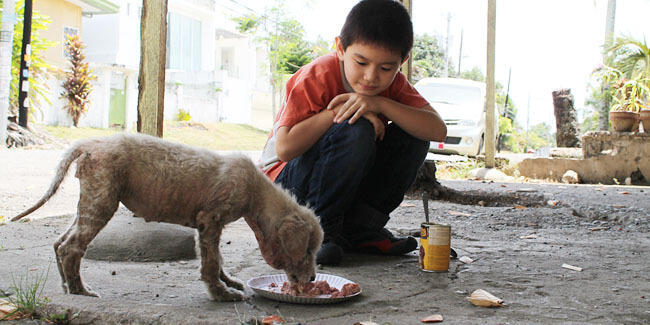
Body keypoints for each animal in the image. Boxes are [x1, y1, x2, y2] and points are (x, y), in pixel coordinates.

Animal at [12, 133, 322, 300]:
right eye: (307, 251)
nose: (312, 278)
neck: (256, 191)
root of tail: (90, 144)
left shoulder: (207, 227)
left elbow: (218, 258)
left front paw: (228, 281)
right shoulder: (210, 220)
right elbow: (211, 263)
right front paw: (221, 294)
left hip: (89, 202)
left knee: (59, 242)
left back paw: (66, 285)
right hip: (101, 201)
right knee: (71, 247)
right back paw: (80, 290)